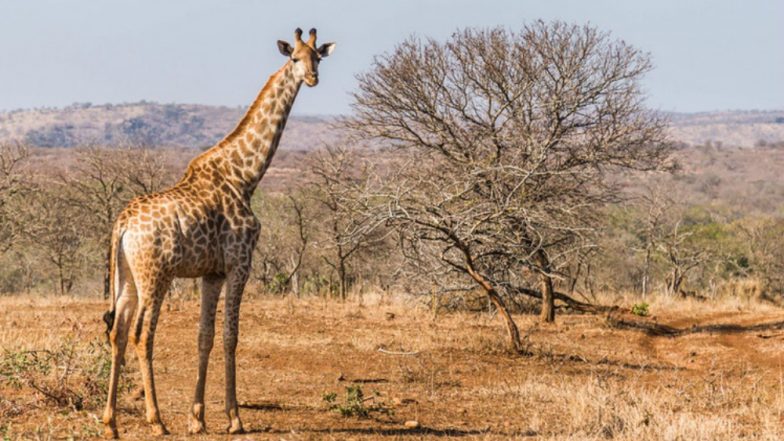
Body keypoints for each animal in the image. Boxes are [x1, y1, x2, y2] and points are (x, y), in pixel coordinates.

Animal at [100, 28, 335, 438]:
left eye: (317, 57)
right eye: (294, 58)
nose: (312, 78)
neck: (246, 177)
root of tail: (122, 223)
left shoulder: (211, 273)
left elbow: (204, 337)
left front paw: (197, 418)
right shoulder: (240, 263)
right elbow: (230, 336)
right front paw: (234, 418)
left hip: (126, 277)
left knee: (118, 333)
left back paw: (110, 422)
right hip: (156, 276)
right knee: (142, 334)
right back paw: (156, 419)